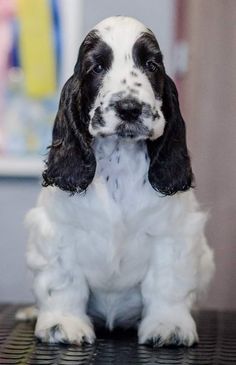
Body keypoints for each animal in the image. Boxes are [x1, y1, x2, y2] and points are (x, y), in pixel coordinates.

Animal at [24, 17, 215, 346]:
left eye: (151, 64)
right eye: (97, 67)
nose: (129, 108)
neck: (120, 160)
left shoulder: (174, 233)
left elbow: (168, 283)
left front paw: (169, 326)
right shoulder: (57, 230)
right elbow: (63, 280)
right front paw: (63, 324)